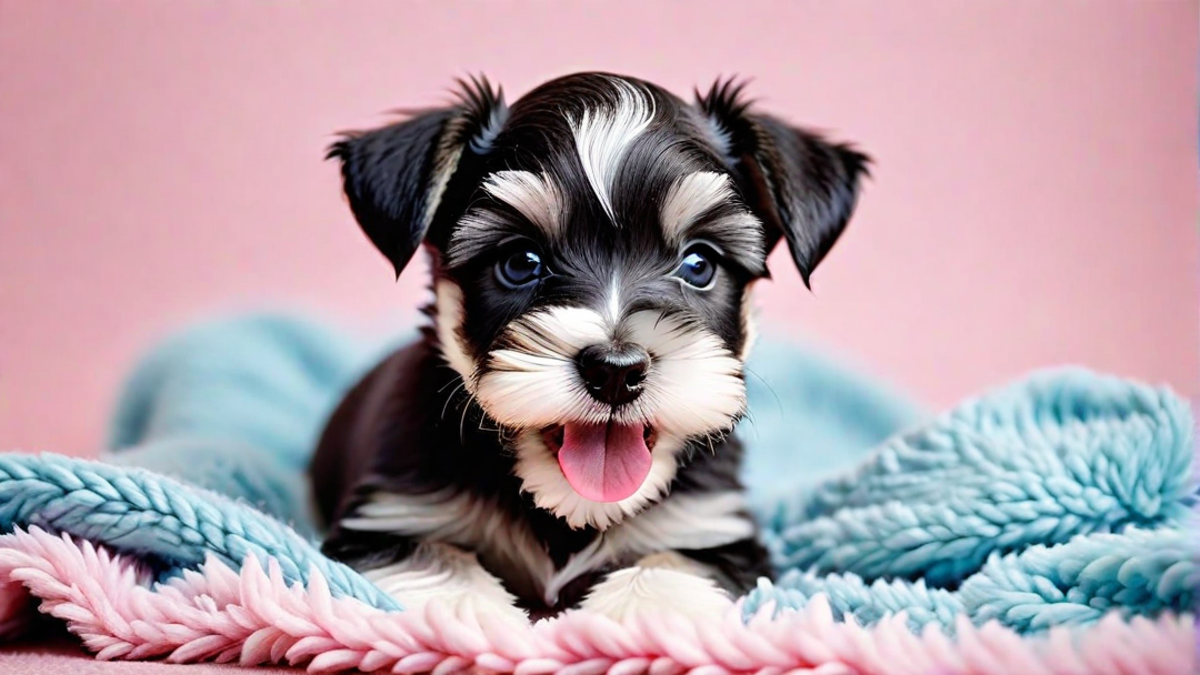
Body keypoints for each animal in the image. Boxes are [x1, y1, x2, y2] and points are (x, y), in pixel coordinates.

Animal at [309, 70, 868, 619]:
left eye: (699, 264)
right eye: (520, 262)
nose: (616, 370)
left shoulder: (711, 532)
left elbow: (666, 567)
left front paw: (637, 617)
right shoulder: (390, 518)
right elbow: (439, 559)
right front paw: (466, 613)